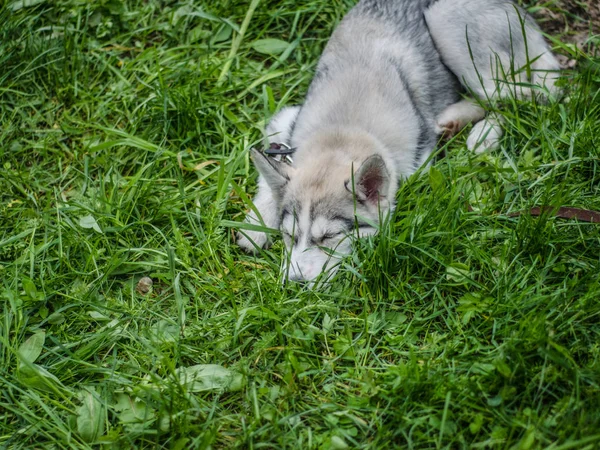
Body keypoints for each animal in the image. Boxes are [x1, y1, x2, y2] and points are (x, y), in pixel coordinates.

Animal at [237, 0, 560, 284]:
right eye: (289, 236)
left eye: (330, 237)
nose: (294, 284)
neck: (344, 129)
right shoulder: (284, 123)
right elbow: (272, 168)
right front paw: (257, 223)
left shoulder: (418, 161)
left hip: (448, 25)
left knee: (524, 94)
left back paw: (481, 131)